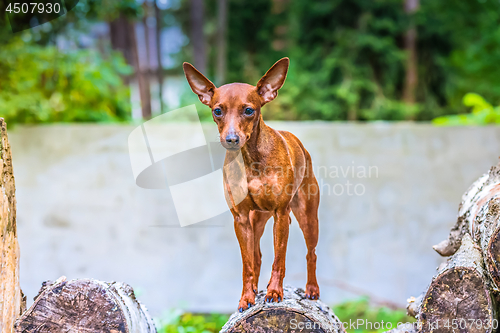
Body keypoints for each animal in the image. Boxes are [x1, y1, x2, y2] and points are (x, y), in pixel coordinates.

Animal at [184, 57, 320, 312]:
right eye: (217, 111)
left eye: (249, 110)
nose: (231, 139)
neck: (251, 159)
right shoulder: (241, 219)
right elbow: (247, 263)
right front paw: (247, 296)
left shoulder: (280, 214)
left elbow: (279, 259)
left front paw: (274, 291)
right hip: (257, 221)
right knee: (256, 256)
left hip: (306, 217)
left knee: (311, 253)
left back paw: (312, 289)